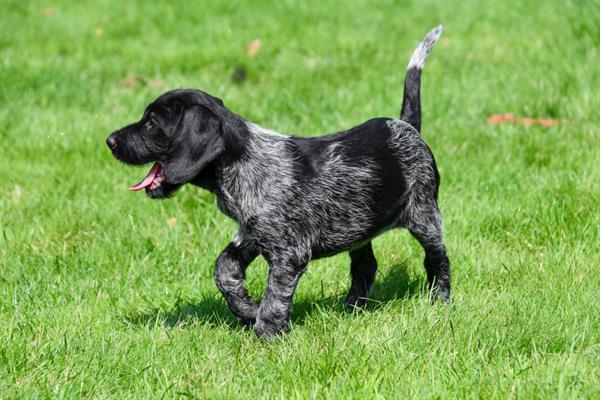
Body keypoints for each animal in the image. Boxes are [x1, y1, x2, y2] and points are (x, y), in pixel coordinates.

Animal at [106, 25, 450, 340]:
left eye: (151, 123)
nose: (109, 141)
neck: (242, 161)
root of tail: (406, 126)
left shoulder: (289, 252)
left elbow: (274, 296)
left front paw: (267, 335)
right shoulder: (250, 233)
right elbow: (224, 270)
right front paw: (246, 310)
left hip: (424, 216)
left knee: (437, 260)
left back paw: (440, 303)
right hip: (360, 227)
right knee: (366, 267)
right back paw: (351, 308)